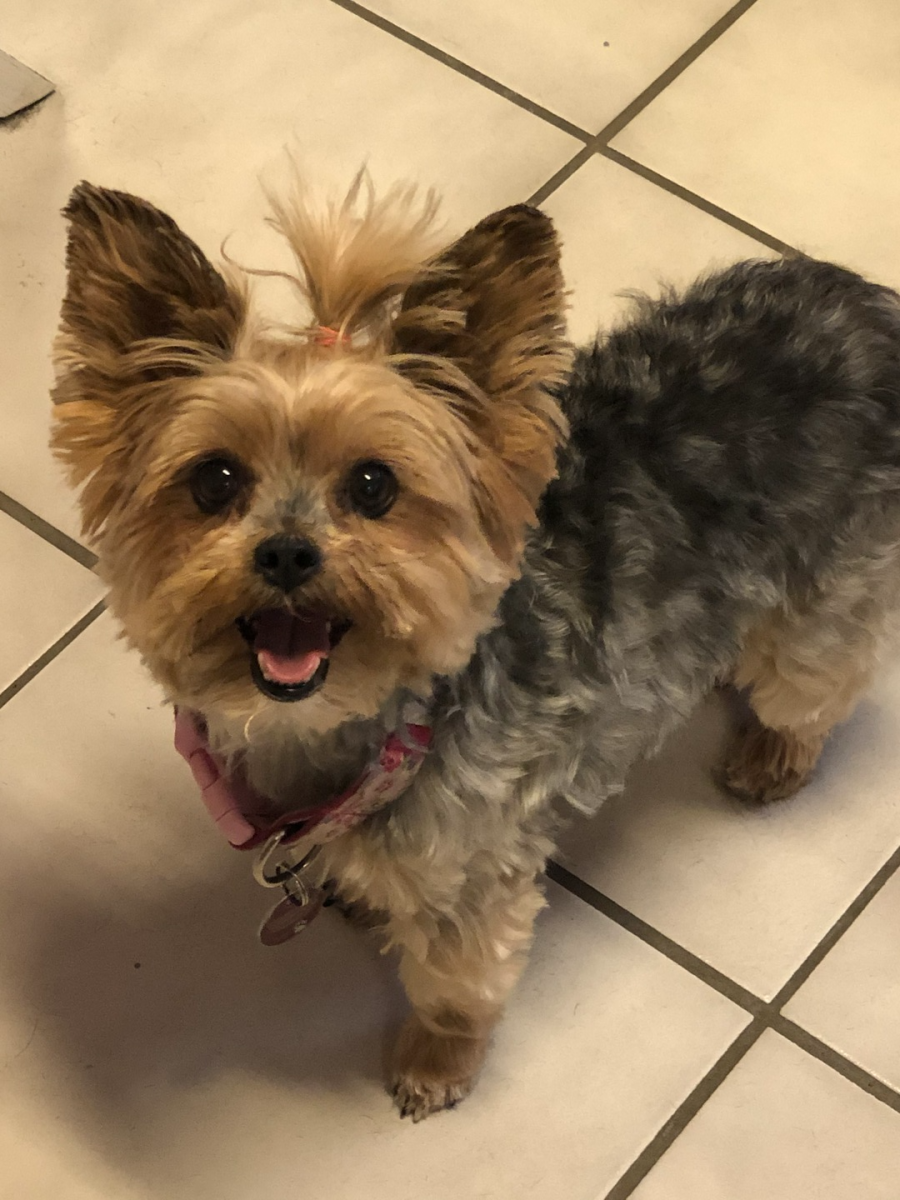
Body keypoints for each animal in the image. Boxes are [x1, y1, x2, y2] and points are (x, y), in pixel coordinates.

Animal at [51, 175, 900, 1120]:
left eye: (373, 485)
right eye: (214, 480)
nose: (286, 553)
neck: (369, 723)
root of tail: (865, 304)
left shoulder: (470, 870)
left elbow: (459, 981)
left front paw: (437, 1060)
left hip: (835, 582)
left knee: (814, 677)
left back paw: (775, 752)